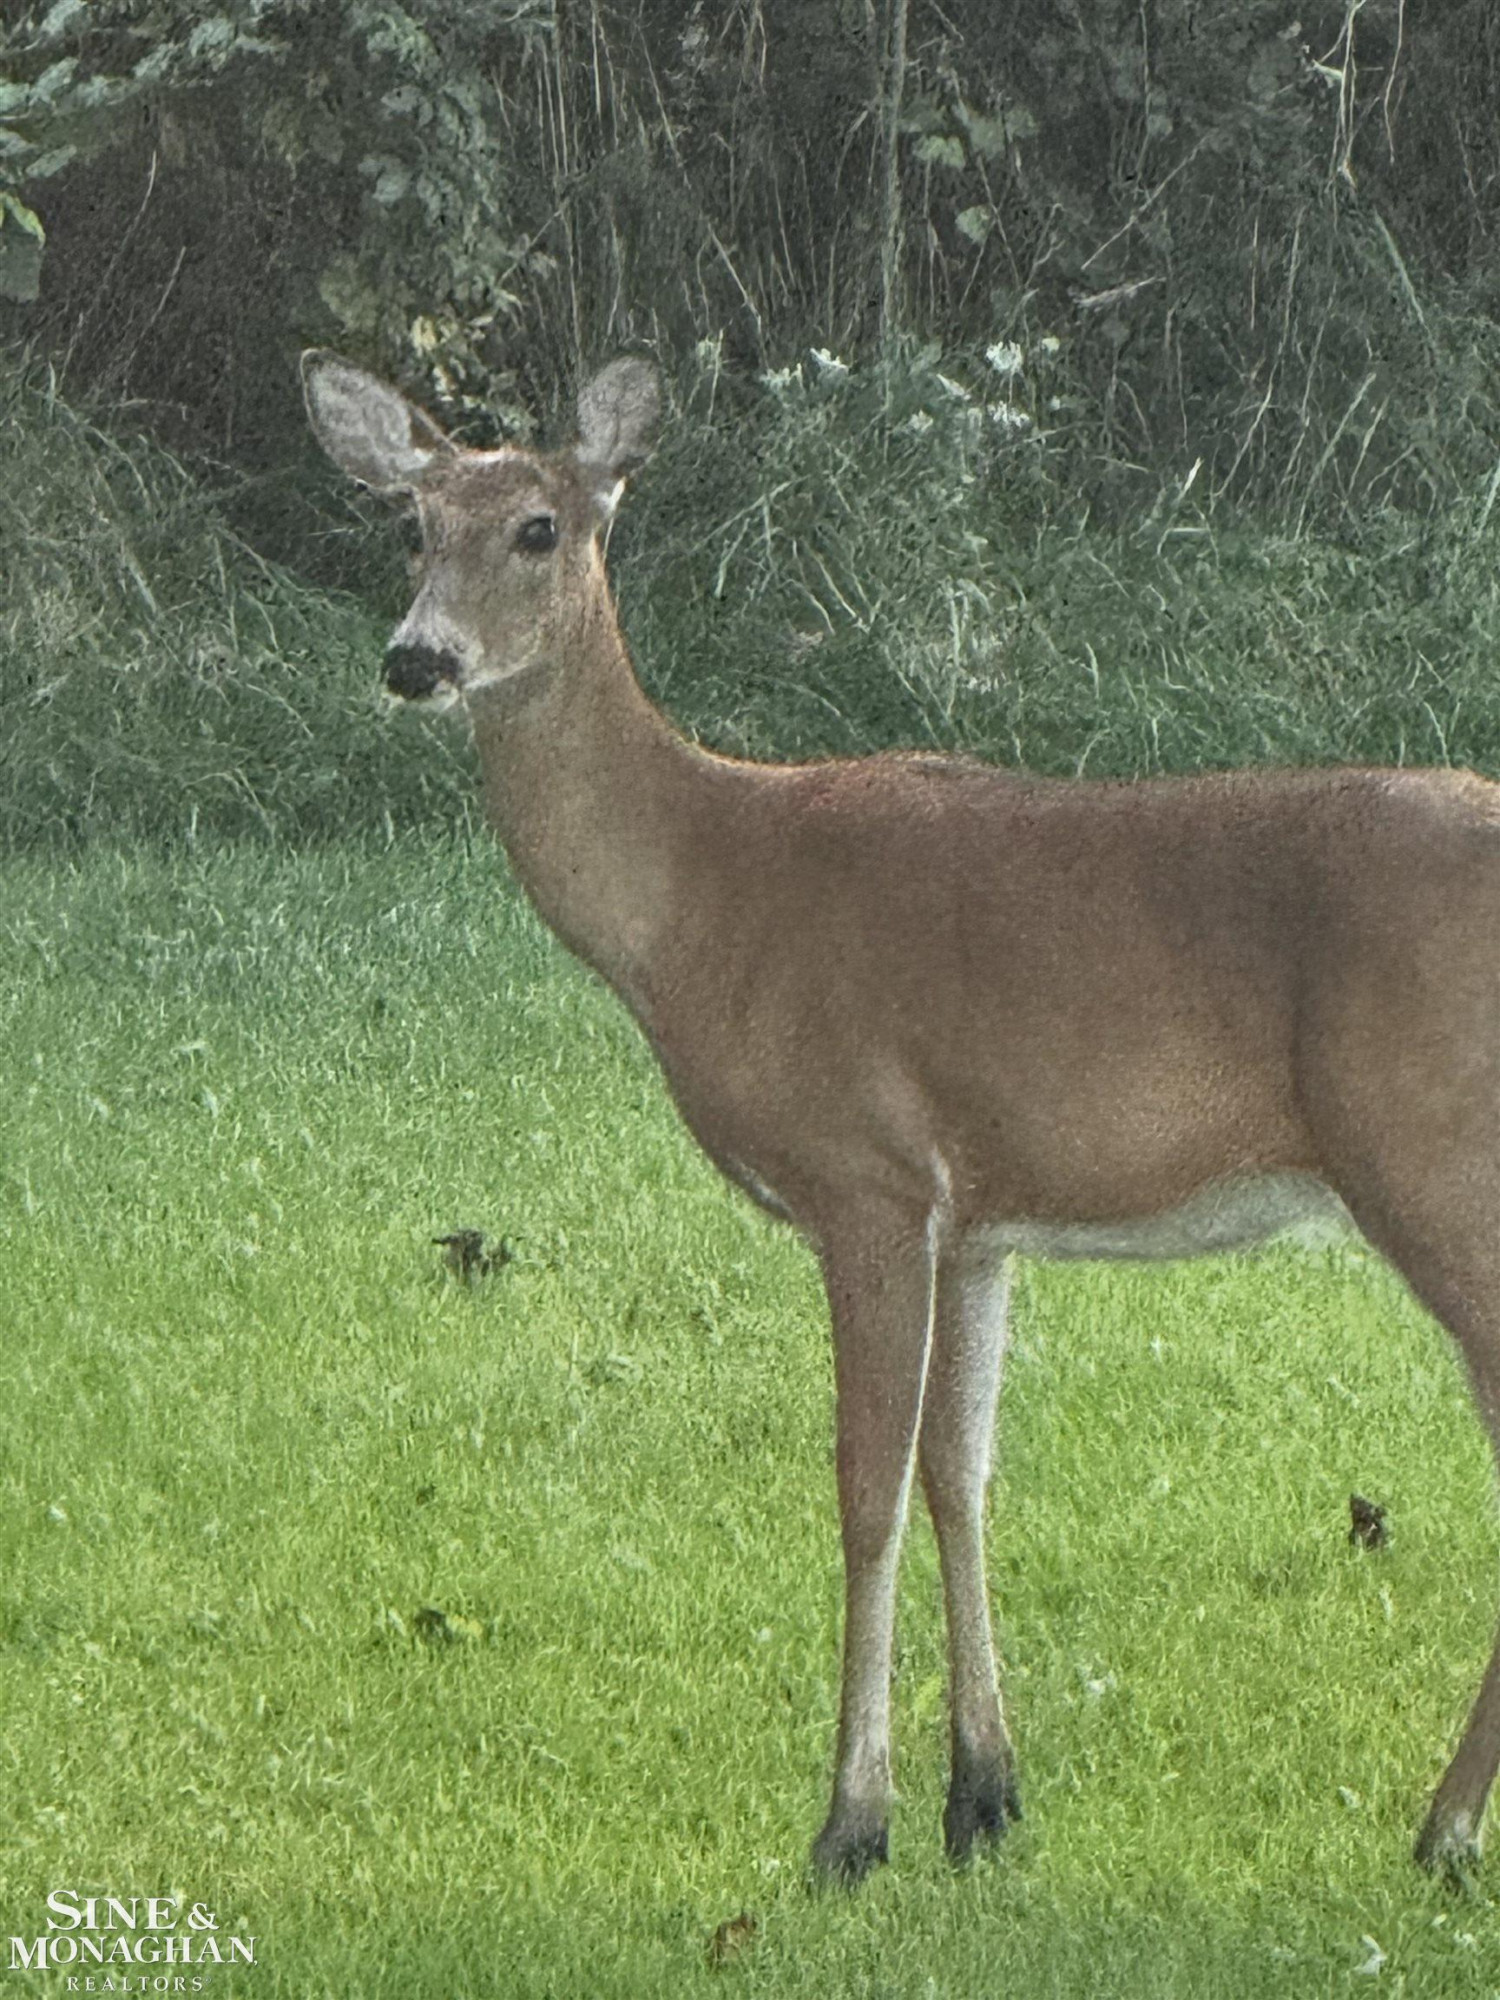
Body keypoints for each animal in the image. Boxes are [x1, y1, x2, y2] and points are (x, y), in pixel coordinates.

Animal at [304, 347, 1500, 1887]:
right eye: (411, 524)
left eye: (539, 527)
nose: (417, 659)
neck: (701, 897)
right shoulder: (978, 1216)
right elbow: (961, 1471)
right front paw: (983, 1798)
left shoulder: (863, 1172)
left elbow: (863, 1485)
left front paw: (850, 1824)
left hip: (1431, 1156)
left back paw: (1444, 1827)